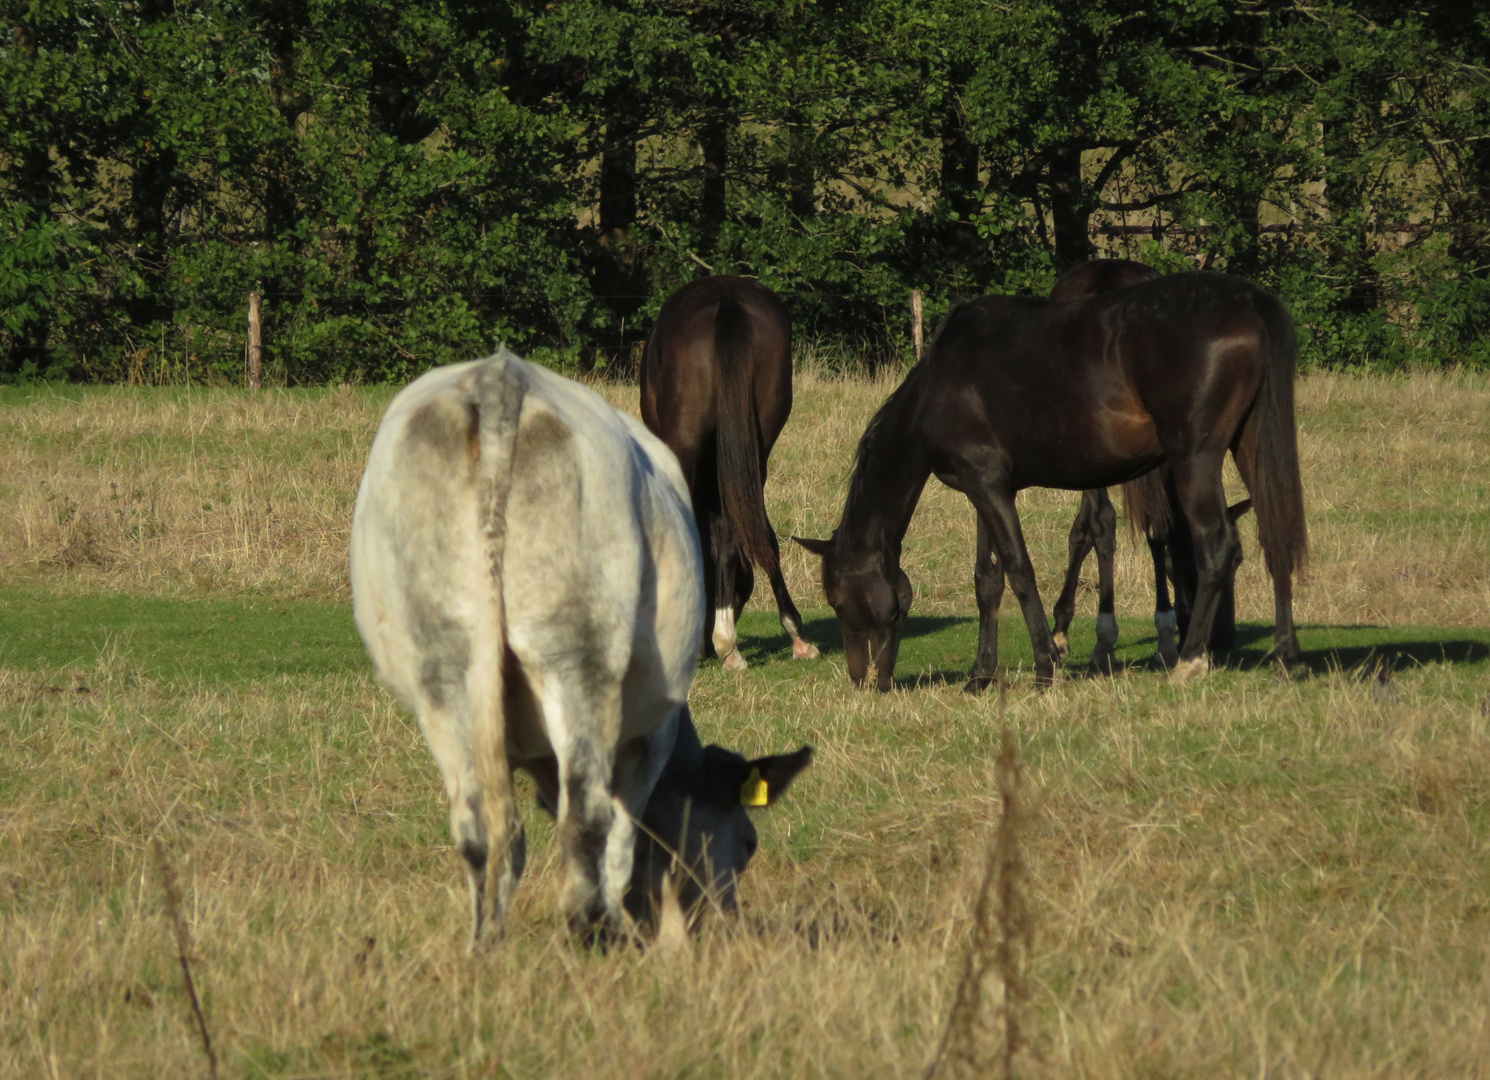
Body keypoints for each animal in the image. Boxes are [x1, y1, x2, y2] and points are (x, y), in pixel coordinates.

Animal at [350, 350, 816, 941]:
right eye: (749, 842)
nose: (724, 925)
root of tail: (500, 377)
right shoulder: (650, 736)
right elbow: (622, 836)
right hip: (577, 656)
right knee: (587, 815)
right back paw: (591, 929)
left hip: (443, 663)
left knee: (481, 826)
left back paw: (488, 943)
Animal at [792, 271, 1305, 691]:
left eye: (837, 600)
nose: (862, 679)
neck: (938, 386)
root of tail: (1251, 301)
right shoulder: (985, 488)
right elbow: (988, 580)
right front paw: (980, 675)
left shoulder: (989, 488)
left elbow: (1020, 571)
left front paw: (1044, 666)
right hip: (1249, 445)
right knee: (1274, 535)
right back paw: (1285, 656)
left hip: (1193, 458)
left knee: (1217, 545)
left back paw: (1191, 660)